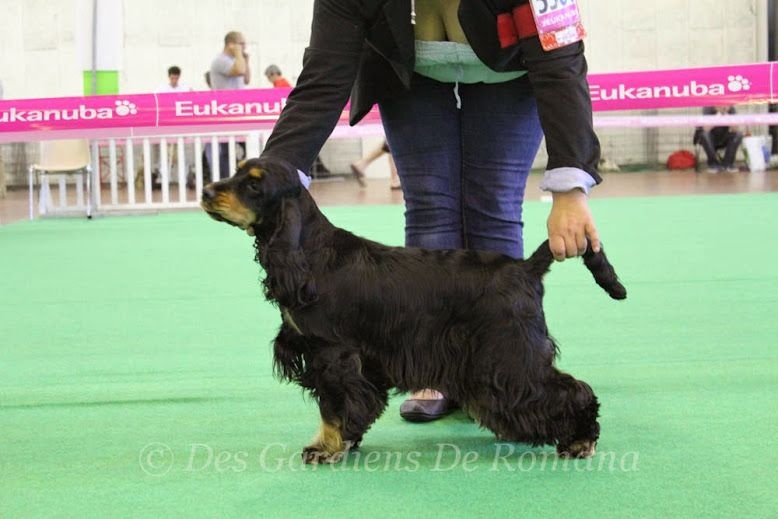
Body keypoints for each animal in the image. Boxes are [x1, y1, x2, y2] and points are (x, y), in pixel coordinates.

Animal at [201, 158, 627, 464]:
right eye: (236, 171)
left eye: (253, 184)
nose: (205, 191)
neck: (310, 255)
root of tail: (525, 267)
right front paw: (346, 441)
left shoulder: (332, 354)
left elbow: (332, 407)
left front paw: (325, 447)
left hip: (510, 355)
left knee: (571, 389)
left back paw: (580, 440)